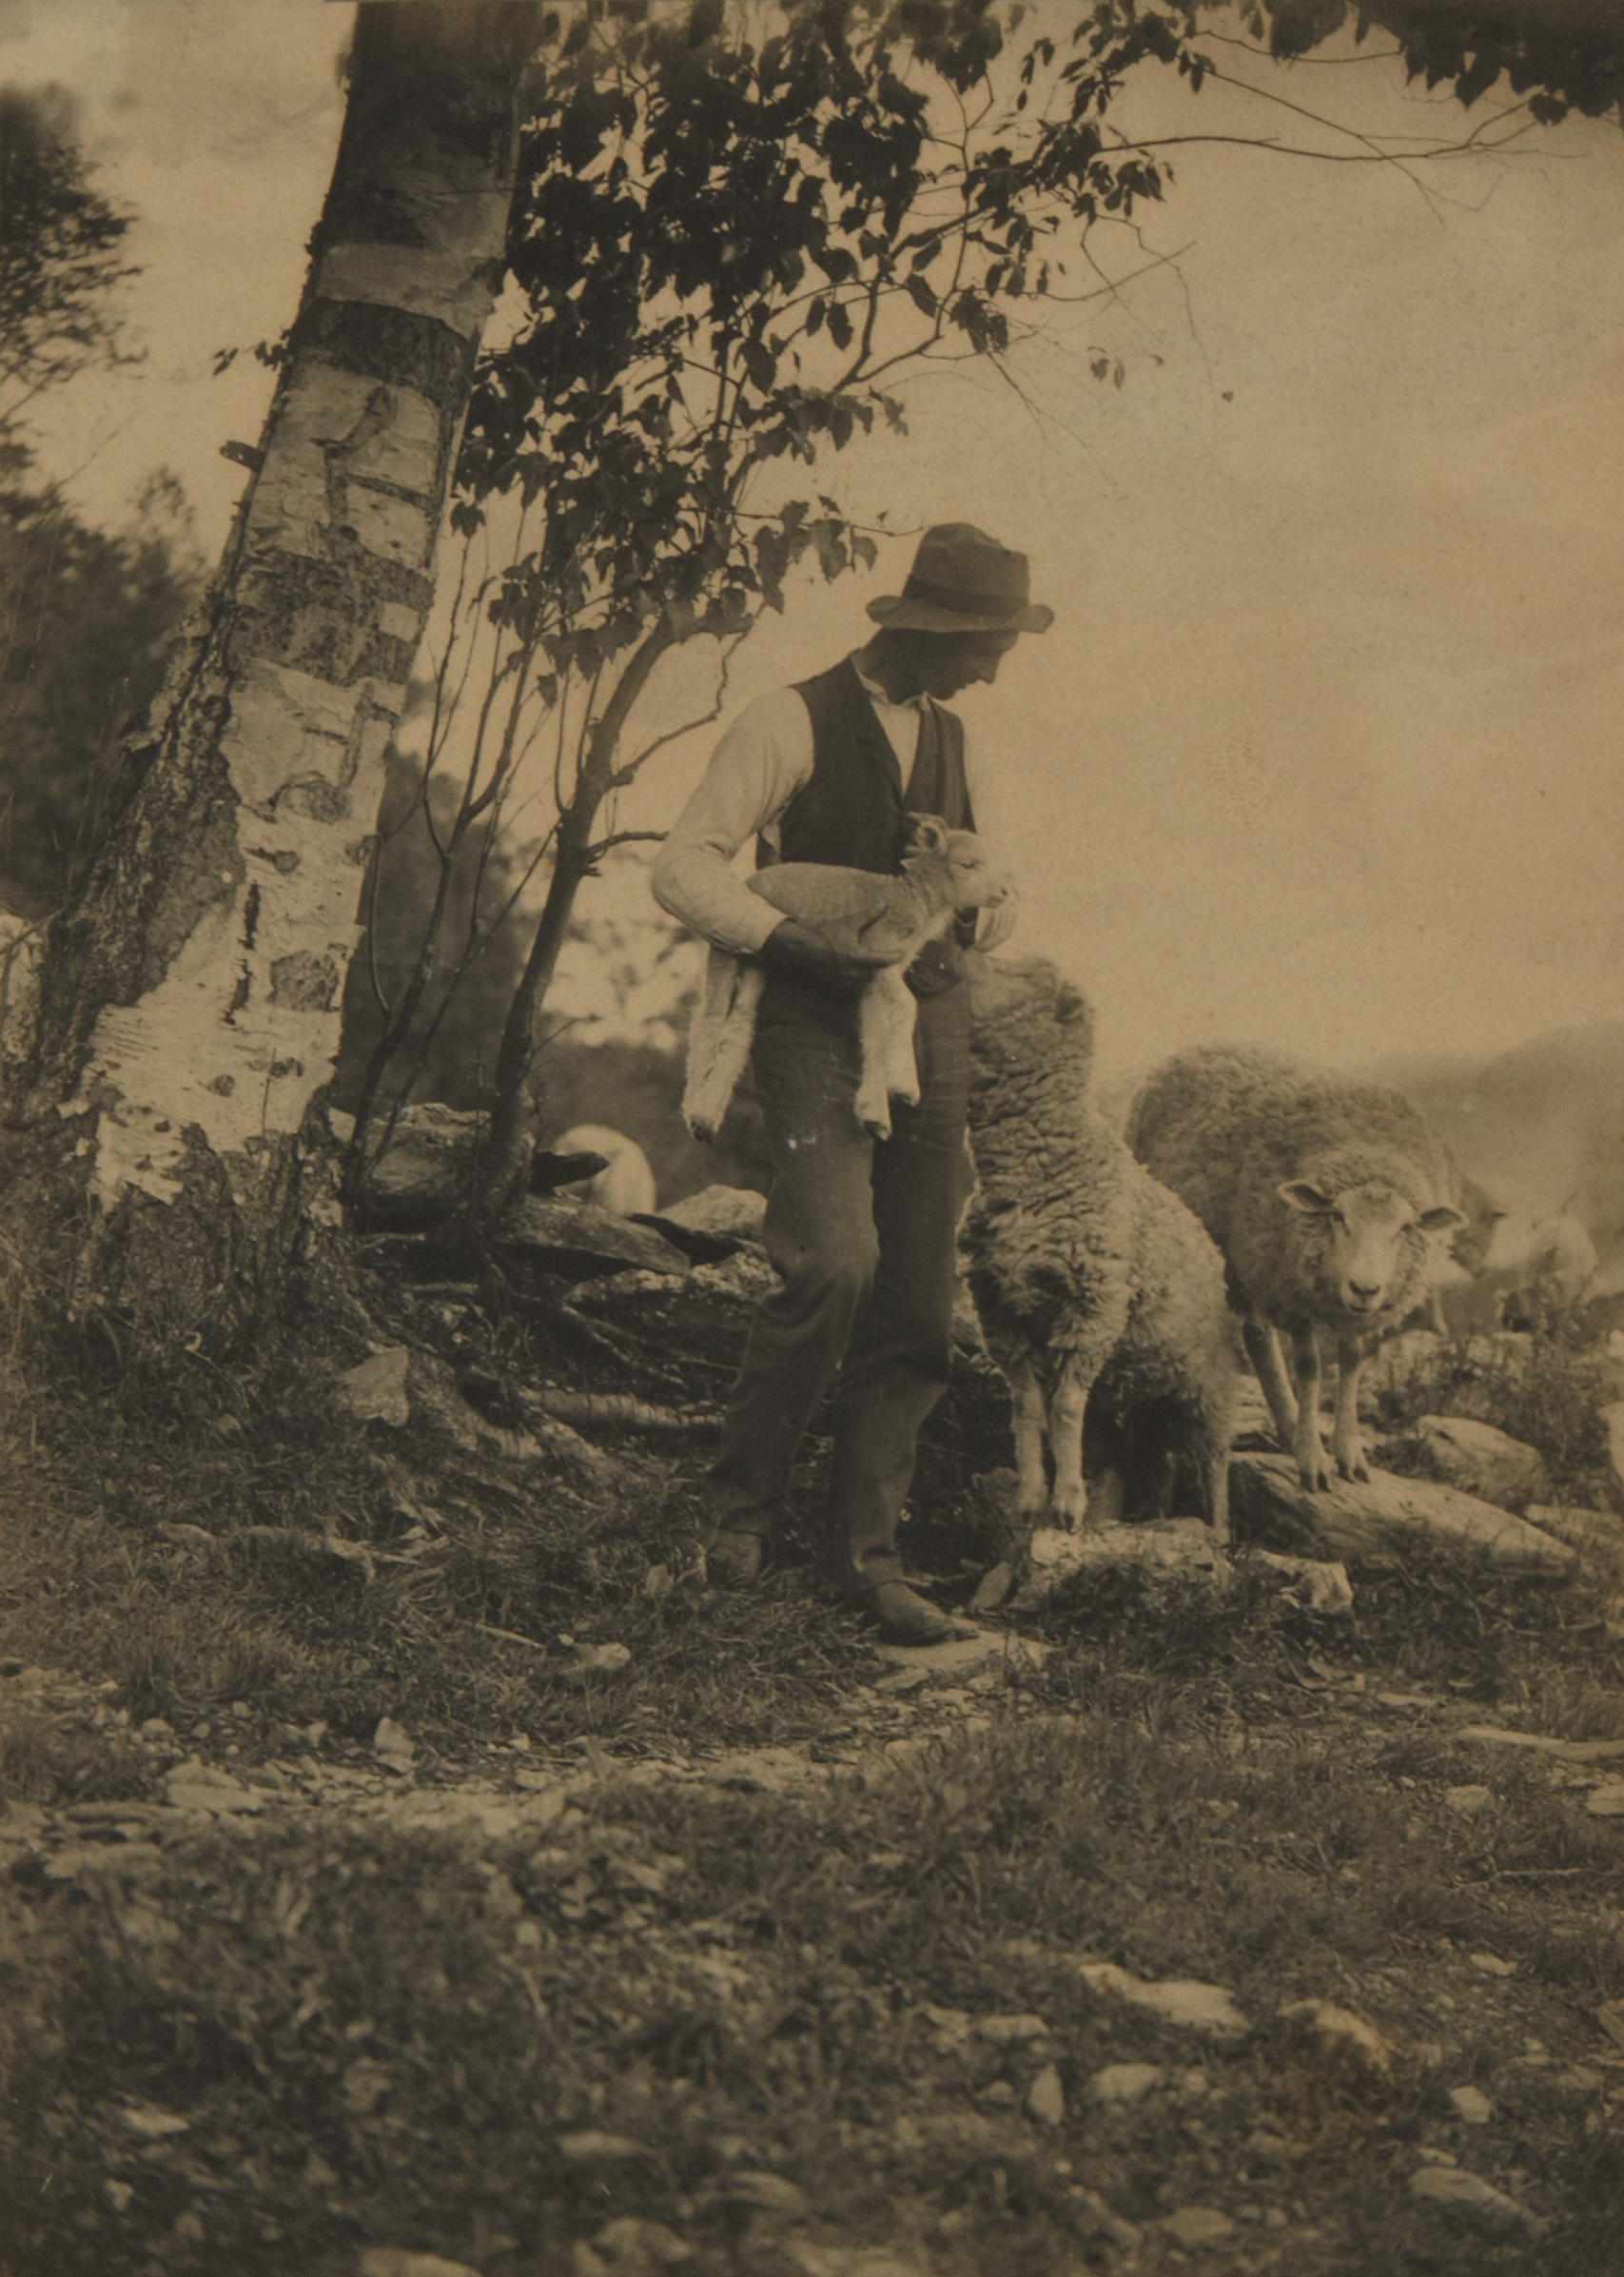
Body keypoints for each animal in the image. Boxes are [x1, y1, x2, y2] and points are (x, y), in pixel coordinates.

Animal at [678, 810, 1007, 1148]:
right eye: (967, 865)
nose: (1004, 893)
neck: (912, 900)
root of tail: (748, 881)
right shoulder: (878, 954)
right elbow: (907, 1005)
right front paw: (904, 1084)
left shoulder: (878, 976)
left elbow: (874, 1034)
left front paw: (874, 1112)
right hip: (726, 947)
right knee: (709, 1022)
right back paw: (695, 1111)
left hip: (759, 964)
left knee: (739, 1026)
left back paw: (709, 1116)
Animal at [956, 952, 1239, 1539]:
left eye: (1021, 974)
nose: (955, 953)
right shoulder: (1000, 1313)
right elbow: (1027, 1408)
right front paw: (1031, 1498)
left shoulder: (1092, 1309)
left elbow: (1065, 1407)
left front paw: (1066, 1504)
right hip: (1143, 1386)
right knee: (1151, 1457)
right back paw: (1134, 1515)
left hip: (1211, 1383)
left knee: (1214, 1458)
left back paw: (1220, 1533)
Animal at [1120, 1047, 1466, 1493]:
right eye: (1337, 1216)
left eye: (1405, 1228)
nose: (1365, 1288)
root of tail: (1193, 1050)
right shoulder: (1292, 1288)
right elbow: (1310, 1368)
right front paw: (1313, 1459)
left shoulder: (1353, 1314)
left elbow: (1352, 1362)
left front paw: (1348, 1452)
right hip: (1236, 1258)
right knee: (1255, 1336)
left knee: (1258, 1335)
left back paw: (1286, 1427)